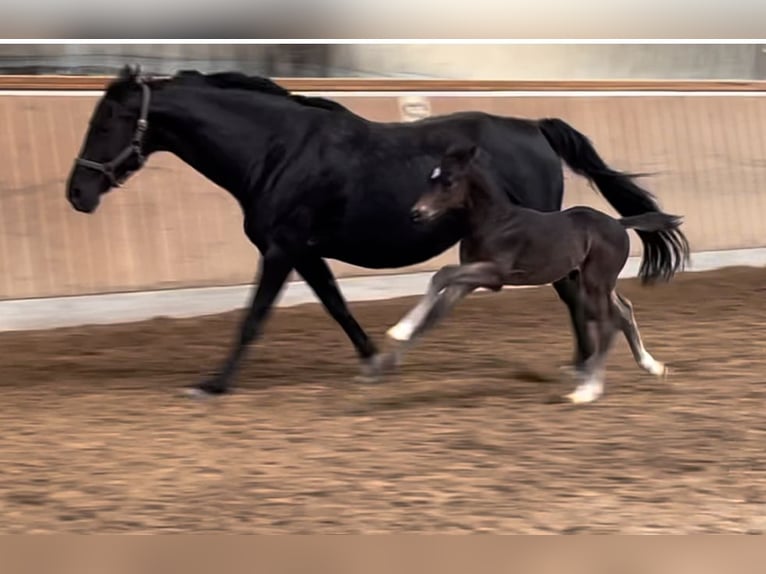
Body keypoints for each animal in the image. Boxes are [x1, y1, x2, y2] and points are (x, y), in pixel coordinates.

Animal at [385, 144, 690, 403]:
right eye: (430, 178)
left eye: (448, 181)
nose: (416, 213)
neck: (496, 222)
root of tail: (618, 223)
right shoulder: (471, 279)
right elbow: (438, 301)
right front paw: (398, 340)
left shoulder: (494, 274)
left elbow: (443, 273)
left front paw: (398, 330)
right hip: (597, 281)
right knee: (624, 311)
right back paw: (652, 366)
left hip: (595, 282)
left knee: (607, 323)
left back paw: (587, 391)